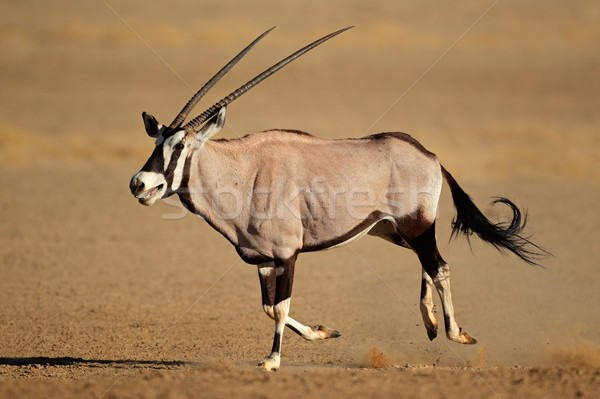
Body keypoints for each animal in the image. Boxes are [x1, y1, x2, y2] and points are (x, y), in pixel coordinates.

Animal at [129, 27, 548, 372]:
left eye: (180, 146)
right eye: (156, 142)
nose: (139, 183)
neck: (243, 171)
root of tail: (429, 155)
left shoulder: (287, 254)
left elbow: (279, 307)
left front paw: (272, 361)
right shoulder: (262, 260)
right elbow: (267, 307)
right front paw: (322, 331)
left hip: (416, 225)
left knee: (440, 266)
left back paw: (455, 333)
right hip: (392, 231)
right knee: (429, 264)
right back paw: (429, 321)